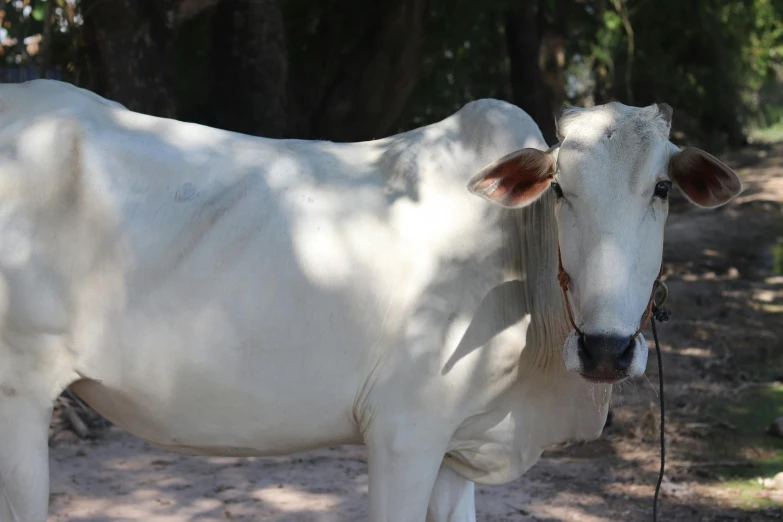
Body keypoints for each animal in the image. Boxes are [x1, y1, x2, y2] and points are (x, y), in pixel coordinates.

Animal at [0, 79, 740, 516]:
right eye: (559, 188)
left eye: (662, 188)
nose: (606, 350)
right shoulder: (403, 432)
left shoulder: (458, 447)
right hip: (19, 396)